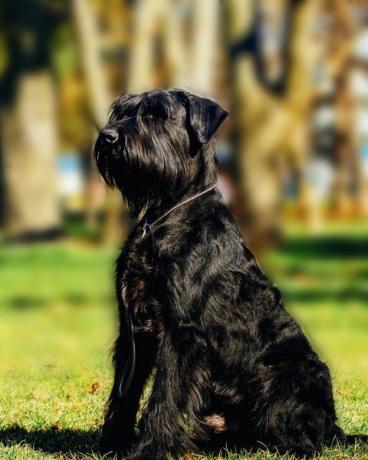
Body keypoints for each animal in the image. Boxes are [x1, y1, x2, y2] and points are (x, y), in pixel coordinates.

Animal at [94, 88, 366, 458]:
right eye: (121, 112)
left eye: (157, 114)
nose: (108, 137)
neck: (164, 215)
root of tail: (334, 428)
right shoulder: (132, 330)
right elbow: (125, 393)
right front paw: (113, 442)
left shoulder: (180, 332)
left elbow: (165, 395)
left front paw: (150, 448)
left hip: (287, 376)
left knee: (305, 437)